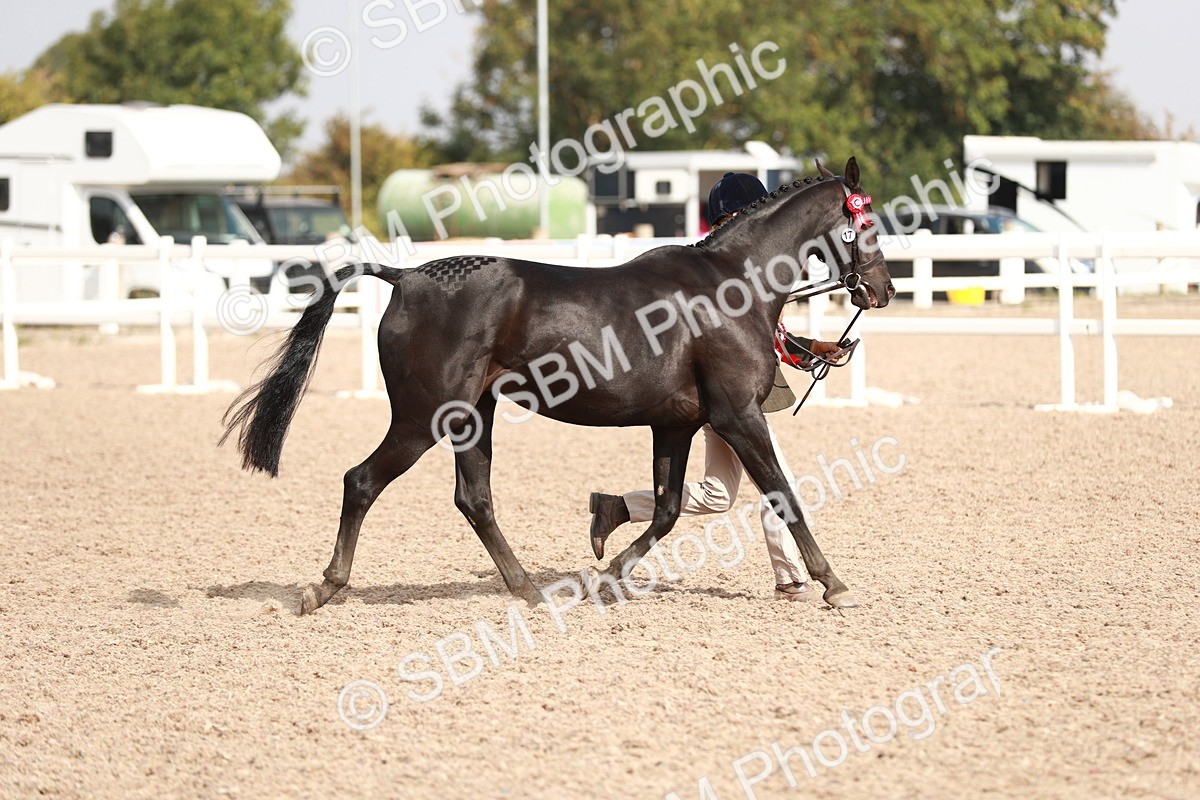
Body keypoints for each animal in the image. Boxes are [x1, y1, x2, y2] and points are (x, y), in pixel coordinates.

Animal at [221, 157, 894, 614]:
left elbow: (669, 509)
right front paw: (834, 584)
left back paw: (527, 589)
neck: (730, 284)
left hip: (472, 417)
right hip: (422, 418)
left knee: (474, 499)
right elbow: (784, 493)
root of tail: (407, 276)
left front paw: (611, 572)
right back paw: (325, 587)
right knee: (361, 482)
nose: (882, 290)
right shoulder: (737, 418)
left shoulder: (676, 424)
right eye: (868, 225)